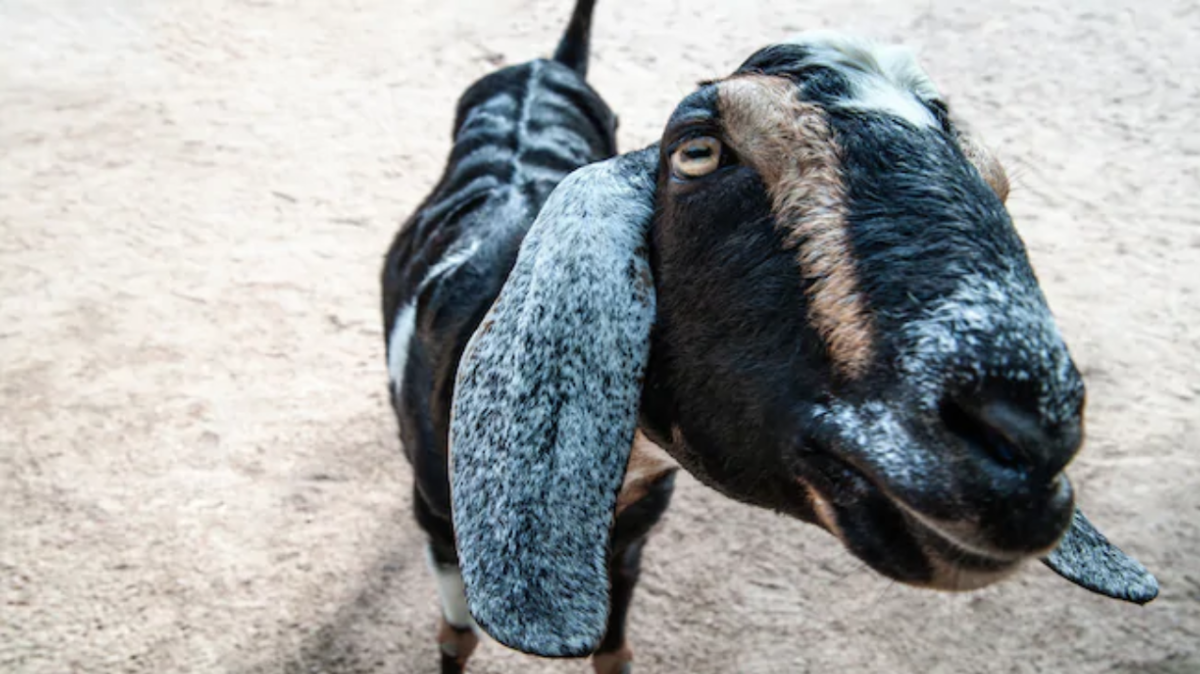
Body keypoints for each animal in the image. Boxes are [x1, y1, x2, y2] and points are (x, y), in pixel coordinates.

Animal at [383, 14, 1158, 672]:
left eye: (997, 181)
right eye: (697, 152)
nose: (1027, 439)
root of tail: (549, 63)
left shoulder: (631, 543)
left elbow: (614, 651)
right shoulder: (437, 524)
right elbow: (456, 636)